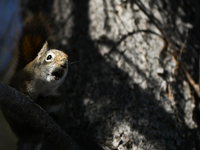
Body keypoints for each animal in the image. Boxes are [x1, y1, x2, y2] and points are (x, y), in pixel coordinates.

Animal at [1, 14, 69, 148]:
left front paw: (43, 101)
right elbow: (23, 91)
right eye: (49, 57)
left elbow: (56, 99)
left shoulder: (60, 91)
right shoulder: (23, 81)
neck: (44, 83)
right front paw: (31, 98)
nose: (63, 65)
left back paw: (54, 117)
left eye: (67, 61)